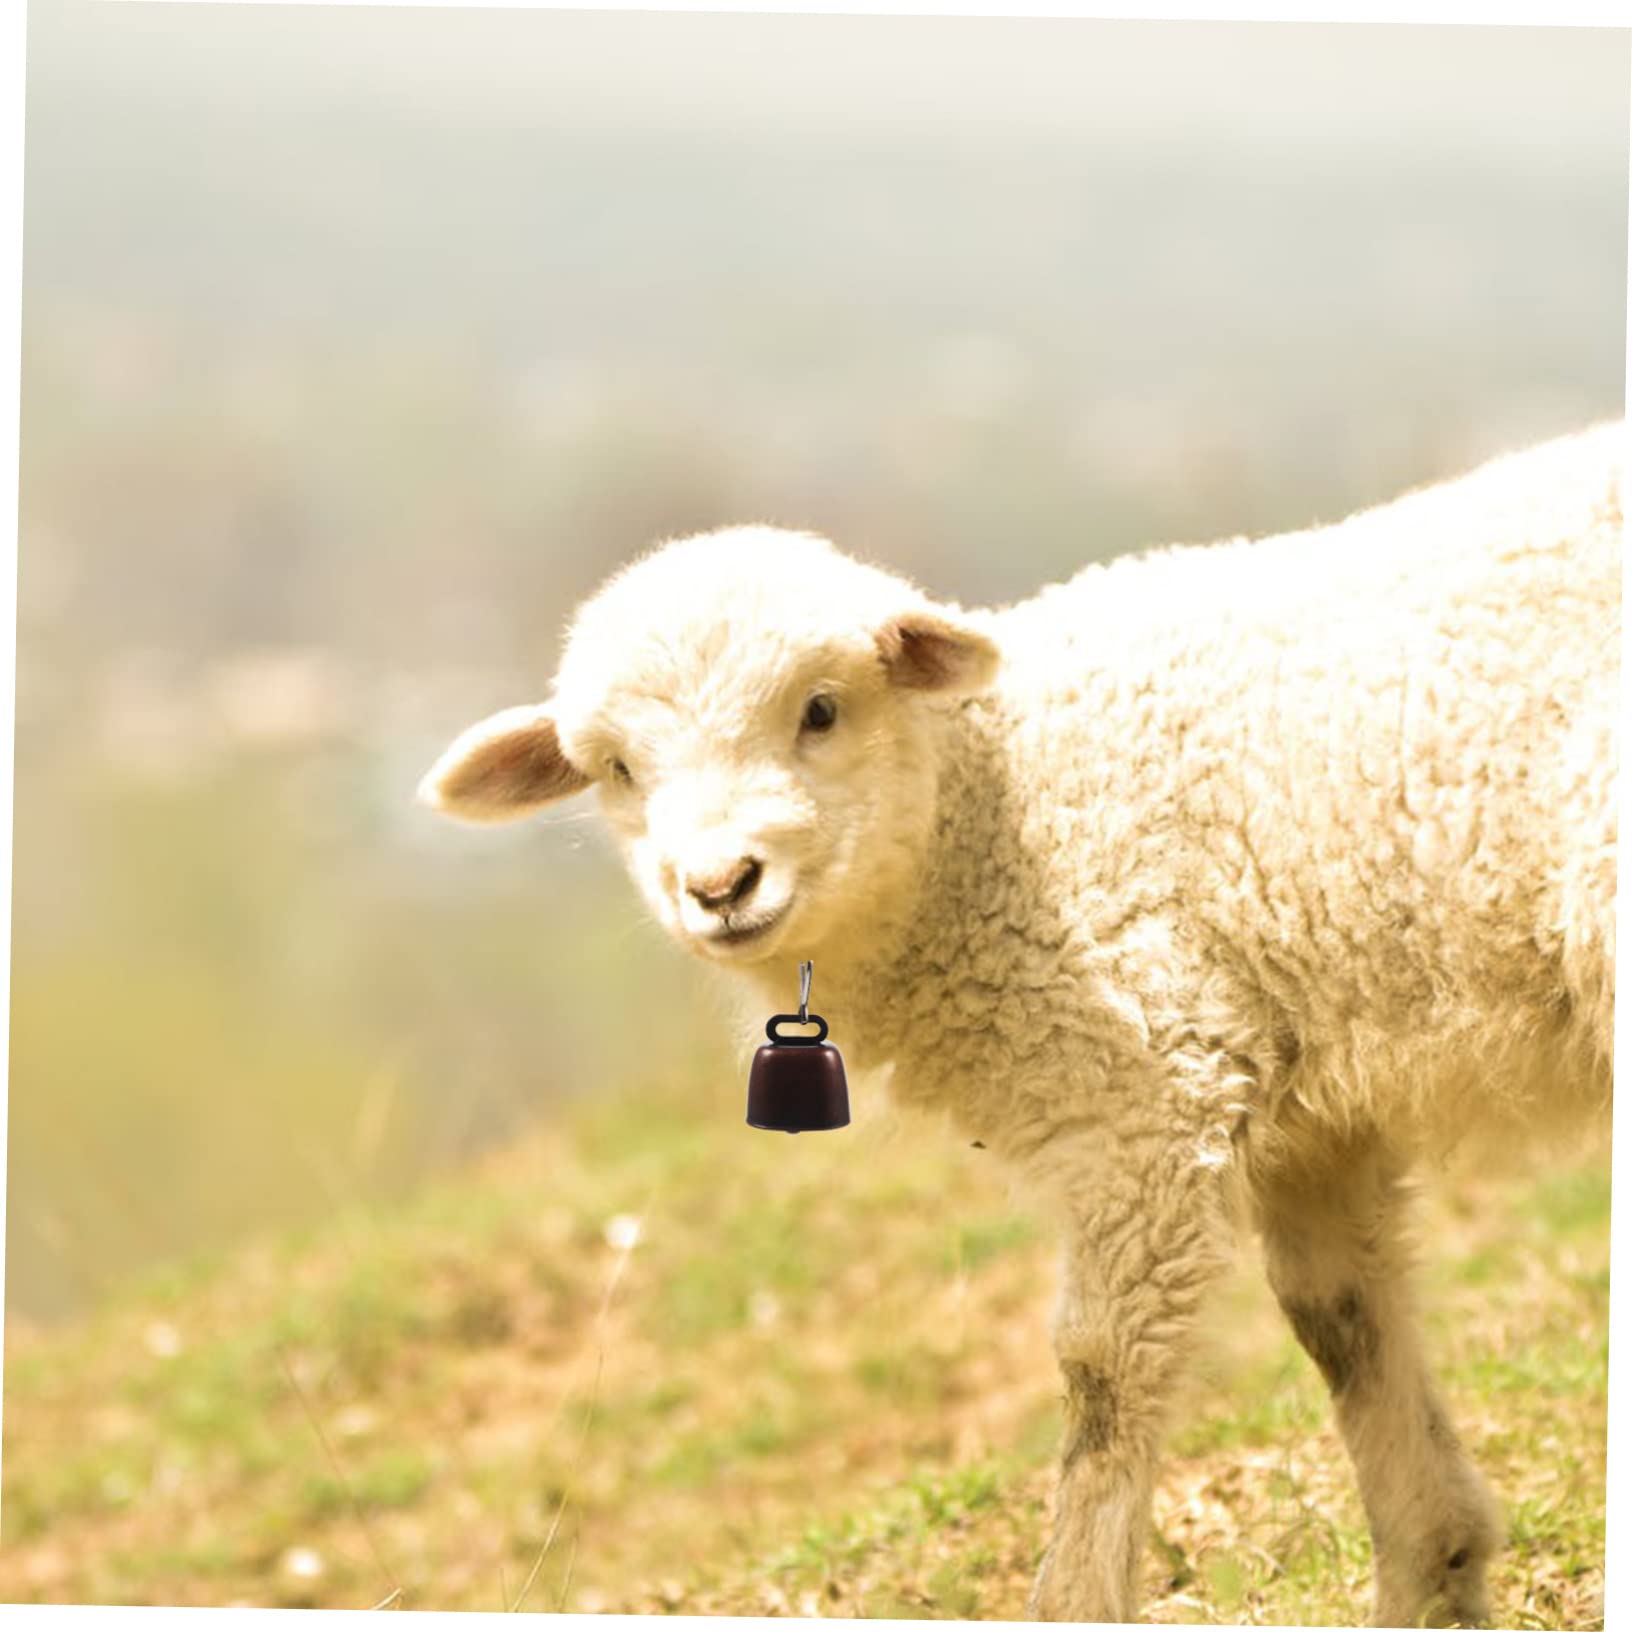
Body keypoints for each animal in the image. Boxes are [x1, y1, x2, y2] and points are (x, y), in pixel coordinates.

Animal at [419, 420, 1620, 1626]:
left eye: (821, 710)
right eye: (619, 770)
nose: (719, 886)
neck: (996, 812)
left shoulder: (1144, 1089)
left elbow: (1102, 1371)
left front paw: (1078, 1590)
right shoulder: (1302, 1097)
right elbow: (1340, 1318)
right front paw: (1433, 1570)